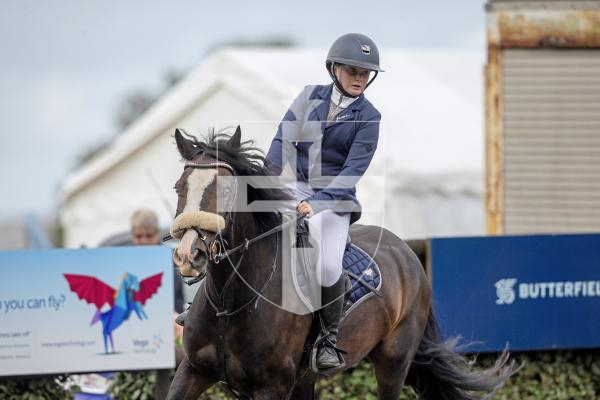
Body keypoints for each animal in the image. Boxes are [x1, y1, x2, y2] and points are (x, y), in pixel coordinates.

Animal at [165, 127, 516, 396]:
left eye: (226, 191)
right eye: (178, 187)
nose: (188, 255)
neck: (232, 301)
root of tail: (407, 253)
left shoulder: (272, 386)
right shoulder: (191, 371)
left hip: (394, 362)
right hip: (307, 379)